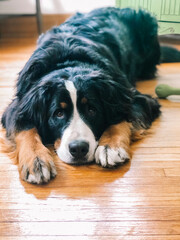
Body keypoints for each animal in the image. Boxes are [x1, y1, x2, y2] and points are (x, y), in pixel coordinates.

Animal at [1, 7, 180, 184]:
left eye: (92, 110)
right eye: (58, 113)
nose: (78, 148)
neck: (69, 61)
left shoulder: (132, 97)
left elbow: (122, 117)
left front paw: (110, 147)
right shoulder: (18, 104)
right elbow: (25, 128)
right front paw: (36, 160)